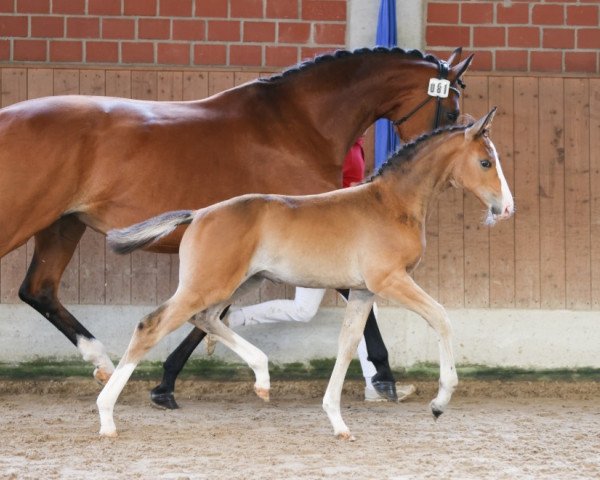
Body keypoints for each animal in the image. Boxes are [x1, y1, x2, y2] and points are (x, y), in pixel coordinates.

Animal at [0, 47, 468, 402]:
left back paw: (102, 362)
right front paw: (386, 377)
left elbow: (211, 314)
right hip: (24, 219)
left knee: (39, 290)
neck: (298, 126)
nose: (450, 163)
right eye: (452, 112)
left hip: (63, 224)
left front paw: (166, 382)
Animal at [101, 109, 512, 438]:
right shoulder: (389, 280)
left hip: (239, 282)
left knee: (207, 318)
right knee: (152, 326)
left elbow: (348, 344)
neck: (390, 204)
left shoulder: (362, 291)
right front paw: (440, 402)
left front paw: (338, 422)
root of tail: (198, 213)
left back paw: (262, 377)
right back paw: (106, 418)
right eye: (485, 162)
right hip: (207, 284)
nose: (506, 208)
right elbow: (441, 318)